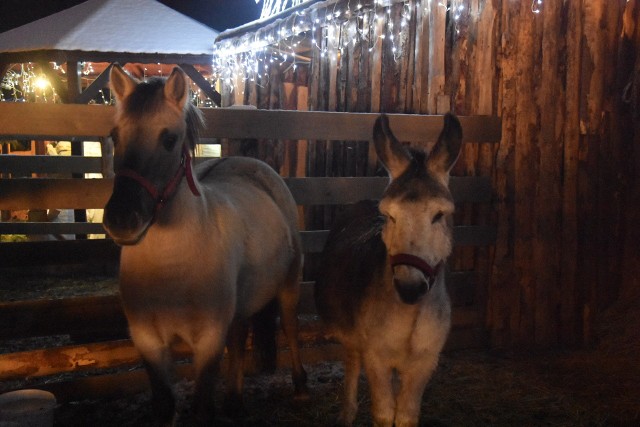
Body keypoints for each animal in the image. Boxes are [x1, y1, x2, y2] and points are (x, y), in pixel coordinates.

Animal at [103, 65, 308, 426]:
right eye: (115, 136)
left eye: (169, 139)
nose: (121, 219)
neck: (171, 268)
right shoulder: (147, 342)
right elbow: (164, 405)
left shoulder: (209, 340)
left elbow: (201, 406)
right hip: (241, 307)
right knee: (239, 340)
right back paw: (235, 402)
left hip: (288, 287)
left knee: (290, 328)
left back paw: (299, 387)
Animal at [314, 112, 460, 426]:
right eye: (389, 215)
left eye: (439, 215)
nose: (409, 288)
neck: (410, 313)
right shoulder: (376, 356)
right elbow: (383, 411)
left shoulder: (424, 363)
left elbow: (405, 415)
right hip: (352, 337)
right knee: (352, 362)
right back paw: (347, 412)